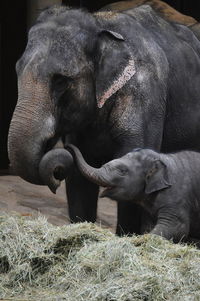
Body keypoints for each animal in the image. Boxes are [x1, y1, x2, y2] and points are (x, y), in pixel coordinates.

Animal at [67, 144, 200, 243]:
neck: (162, 158)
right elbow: (148, 226)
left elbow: (177, 228)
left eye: (122, 171)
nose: (68, 146)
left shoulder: (177, 198)